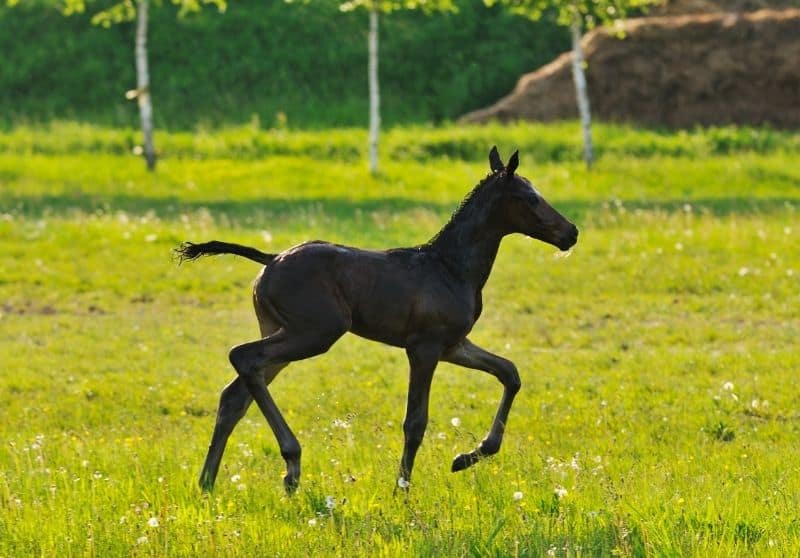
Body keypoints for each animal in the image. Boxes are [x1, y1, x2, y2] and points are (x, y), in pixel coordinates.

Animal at [177, 149, 576, 494]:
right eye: (530, 198)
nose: (571, 232)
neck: (452, 267)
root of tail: (271, 259)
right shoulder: (424, 348)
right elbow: (416, 422)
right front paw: (402, 491)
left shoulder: (453, 345)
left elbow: (509, 372)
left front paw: (466, 458)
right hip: (315, 332)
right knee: (243, 357)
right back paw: (291, 463)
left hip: (283, 332)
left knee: (236, 394)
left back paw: (207, 483)